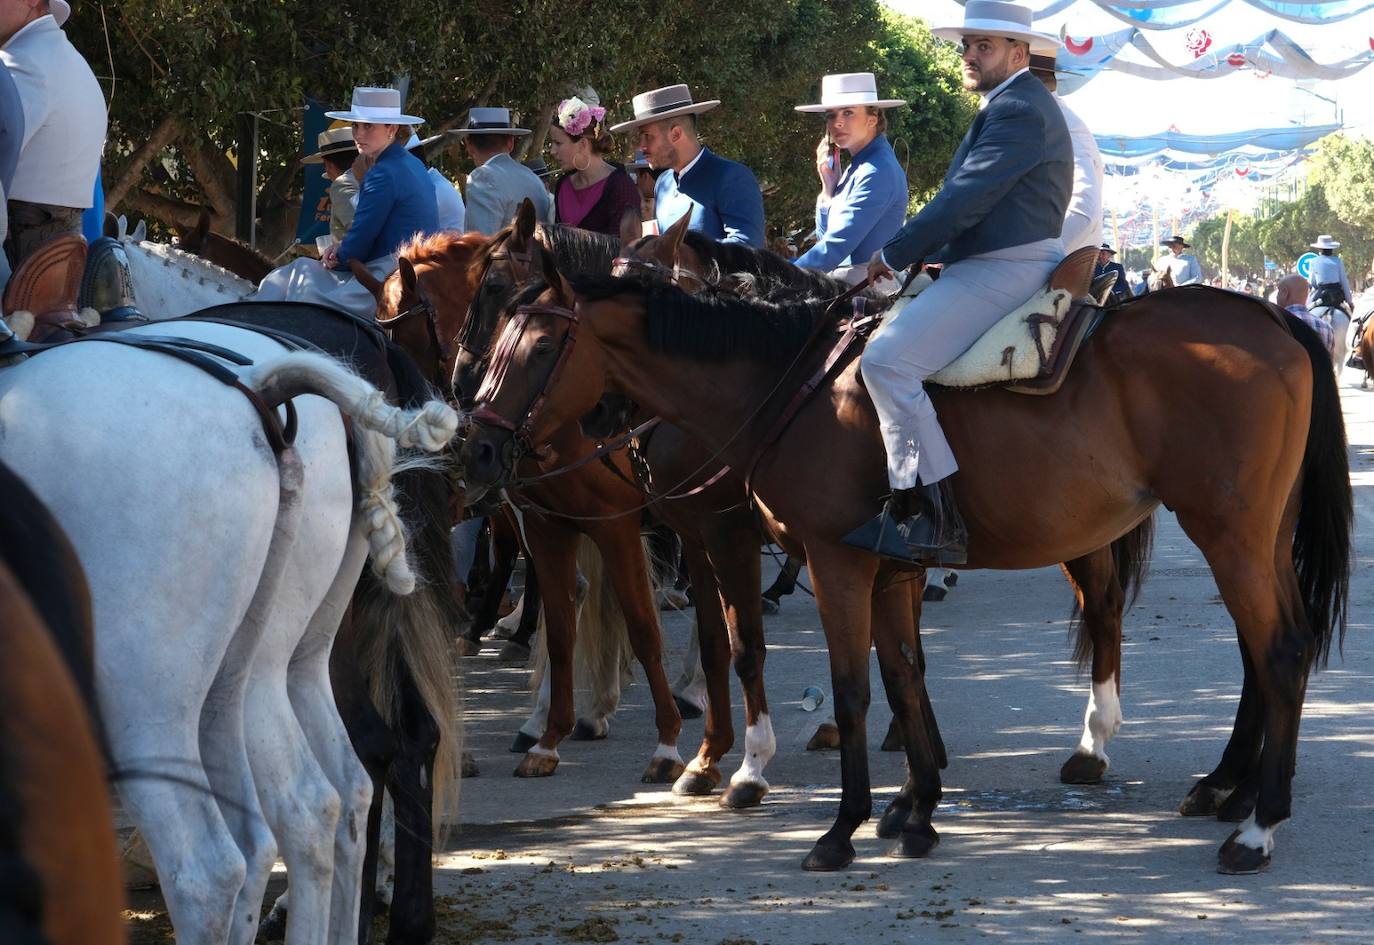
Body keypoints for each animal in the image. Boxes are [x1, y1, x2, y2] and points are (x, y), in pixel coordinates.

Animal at [461, 252, 1352, 879]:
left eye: (539, 343)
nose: (477, 449)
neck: (796, 387)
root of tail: (1274, 321)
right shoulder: (885, 570)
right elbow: (903, 673)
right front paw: (915, 809)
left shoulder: (825, 561)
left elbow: (847, 686)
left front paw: (833, 822)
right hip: (1255, 535)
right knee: (1268, 648)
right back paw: (1227, 787)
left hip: (1227, 532)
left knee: (1276, 649)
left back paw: (1255, 824)